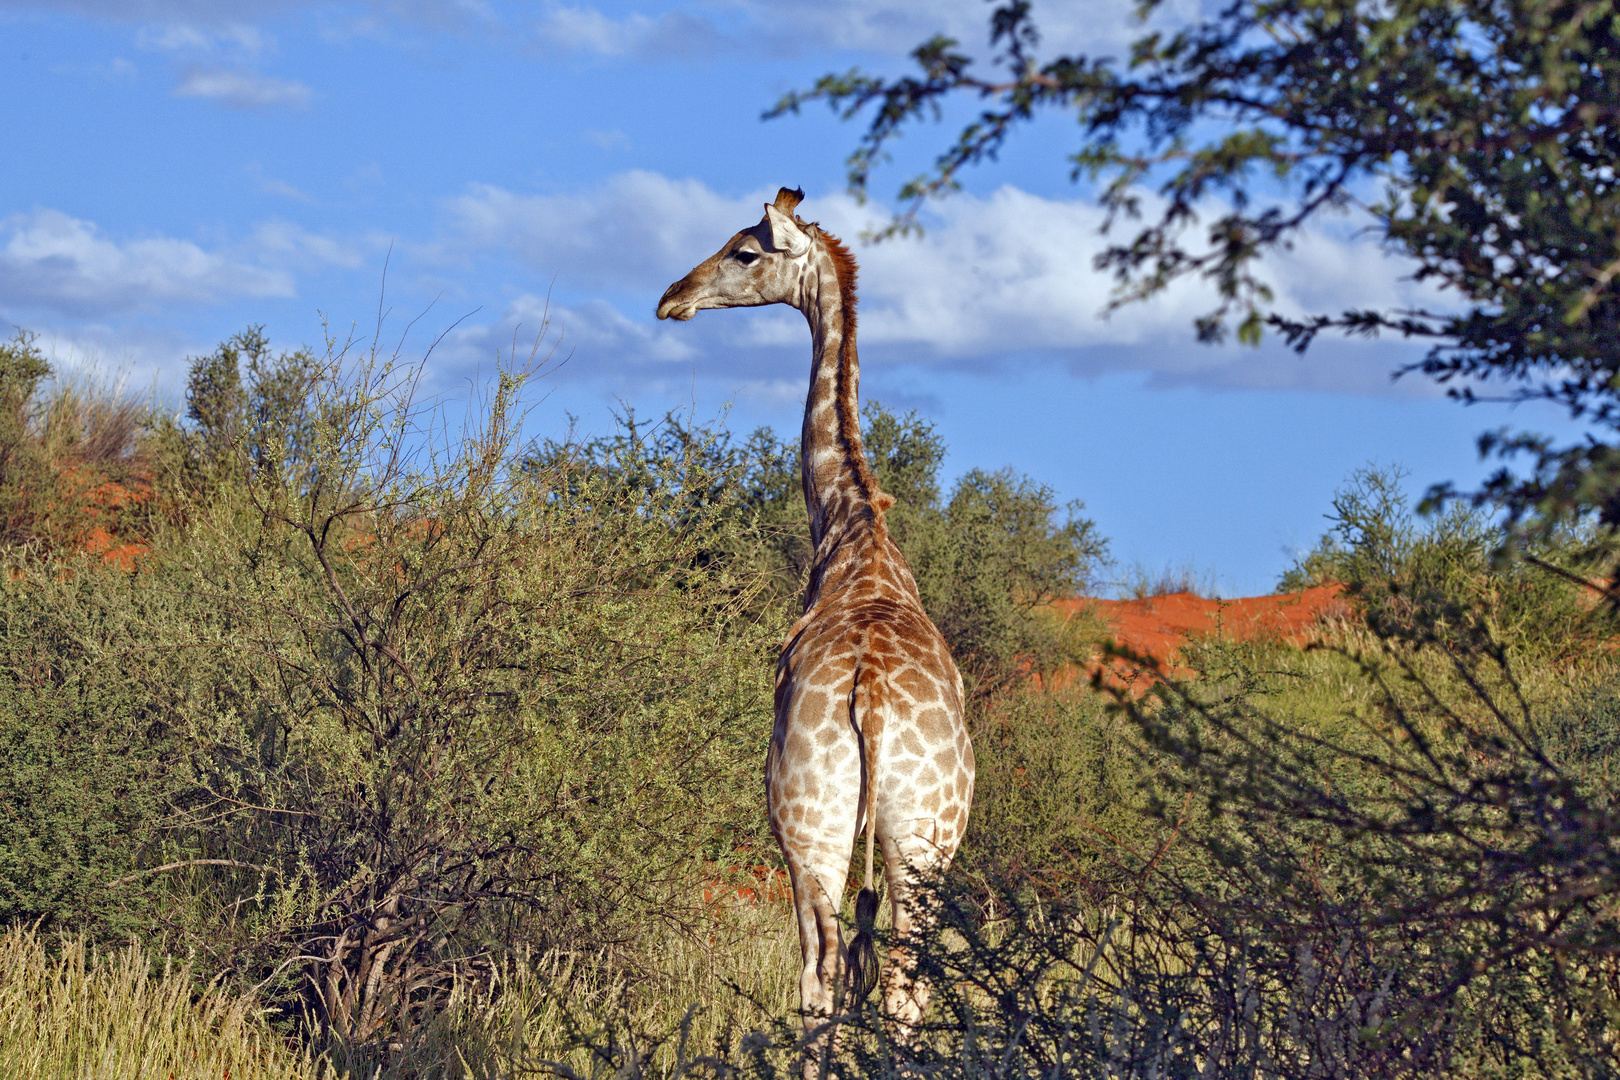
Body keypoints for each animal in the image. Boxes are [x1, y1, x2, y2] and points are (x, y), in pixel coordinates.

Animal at [654, 187, 972, 1055]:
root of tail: (871, 699)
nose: (671, 298)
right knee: (901, 985)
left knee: (818, 978)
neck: (851, 527)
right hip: (924, 839)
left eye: (744, 251)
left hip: (811, 831)